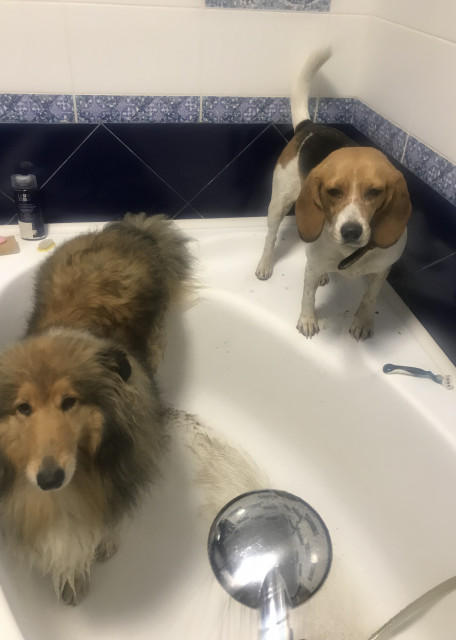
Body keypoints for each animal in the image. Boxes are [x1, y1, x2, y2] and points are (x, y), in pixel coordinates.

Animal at [255, 48, 412, 340]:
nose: (351, 231)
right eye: (333, 191)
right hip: (279, 201)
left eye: (375, 191)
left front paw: (363, 321)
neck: (348, 252)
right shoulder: (312, 267)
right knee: (271, 237)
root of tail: (309, 126)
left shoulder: (381, 271)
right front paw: (307, 320)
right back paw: (265, 264)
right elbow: (308, 295)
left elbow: (369, 298)